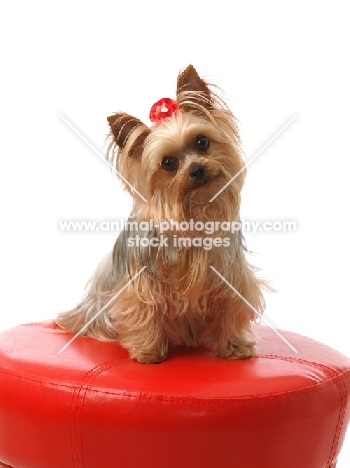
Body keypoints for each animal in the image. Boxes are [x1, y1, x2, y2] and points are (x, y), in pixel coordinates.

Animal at [56, 64, 266, 364]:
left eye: (202, 142)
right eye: (168, 163)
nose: (197, 170)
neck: (194, 213)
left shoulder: (231, 279)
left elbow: (231, 308)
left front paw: (235, 346)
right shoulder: (142, 285)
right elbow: (145, 310)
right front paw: (148, 352)